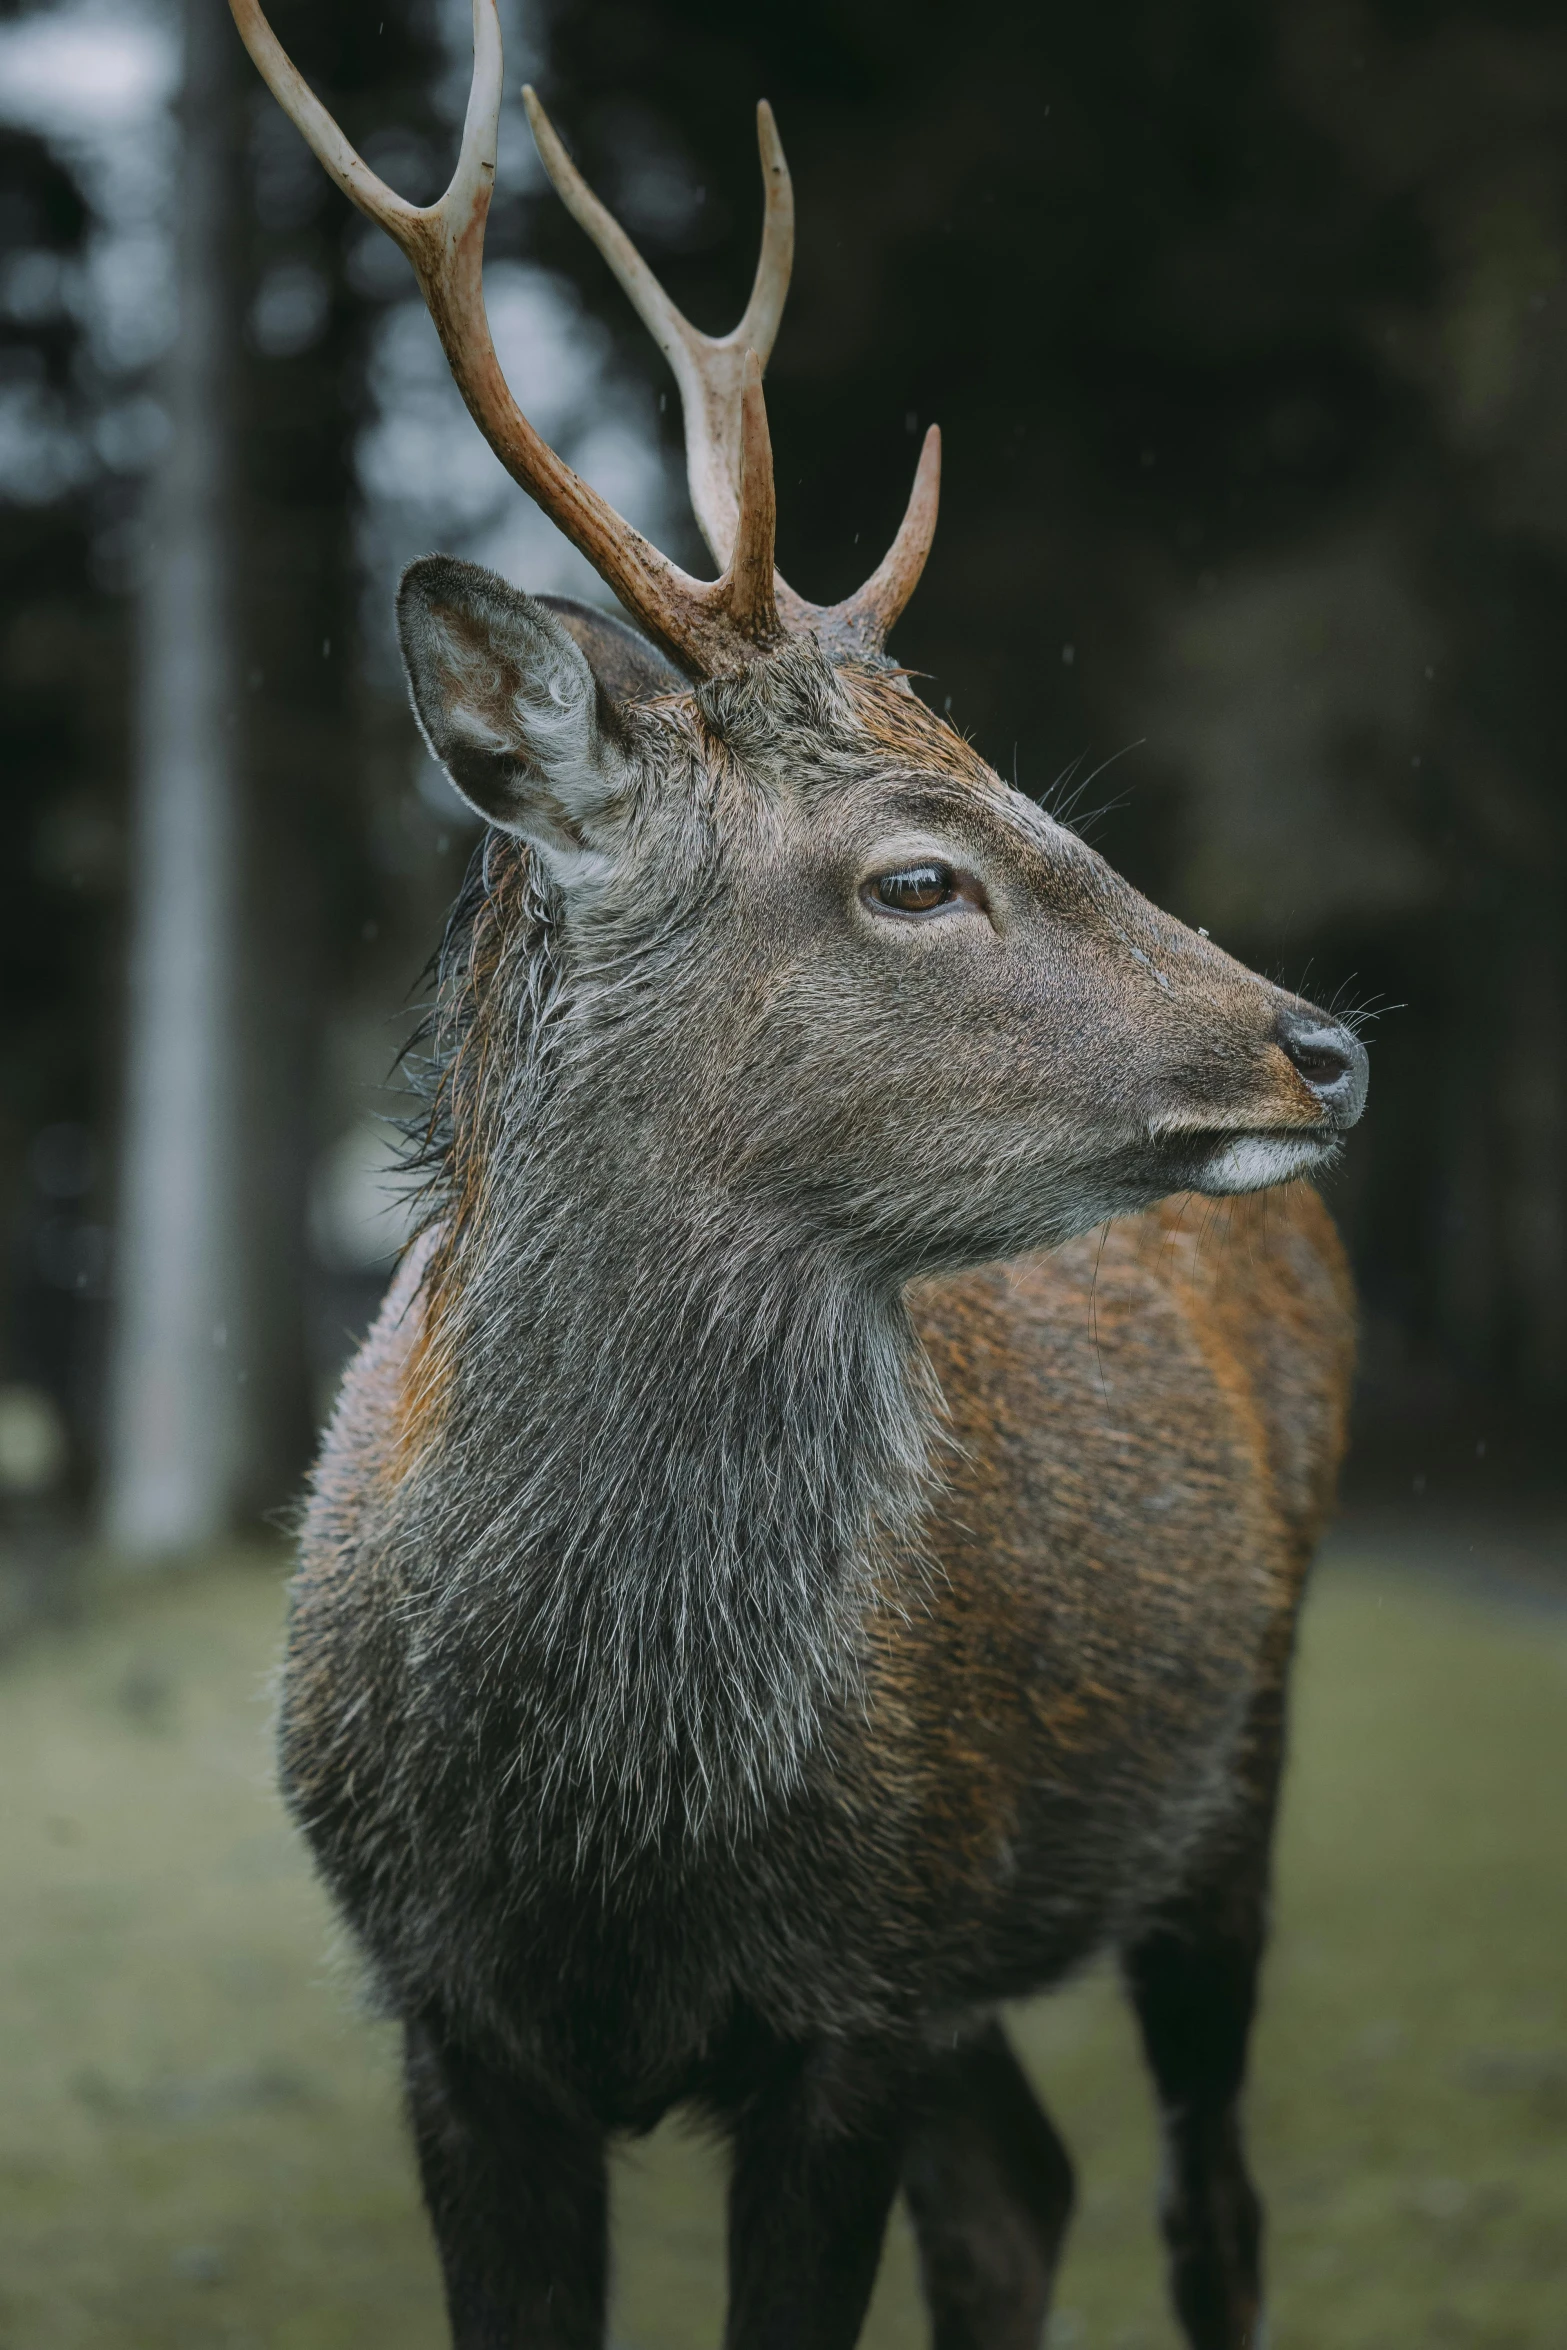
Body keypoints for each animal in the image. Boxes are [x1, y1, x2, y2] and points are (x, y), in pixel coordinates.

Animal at [226, 4, 1362, 2350]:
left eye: (1022, 784)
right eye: (916, 874)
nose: (1320, 1041)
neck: (604, 1809)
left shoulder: (858, 1989)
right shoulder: (451, 2022)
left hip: (1230, 1776)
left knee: (1205, 2198)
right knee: (1020, 2184)